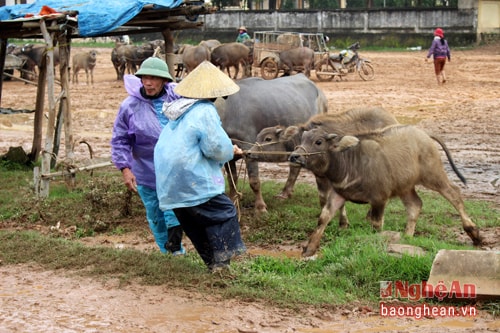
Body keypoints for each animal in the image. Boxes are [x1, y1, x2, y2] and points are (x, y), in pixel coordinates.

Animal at [216, 73, 328, 211]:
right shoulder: (228, 156)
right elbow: (232, 180)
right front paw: (233, 199)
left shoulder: (250, 149)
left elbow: (254, 181)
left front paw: (260, 207)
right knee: (294, 166)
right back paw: (285, 193)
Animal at [248, 106, 400, 226]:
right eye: (258, 137)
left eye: (268, 139)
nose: (248, 152)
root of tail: (393, 121)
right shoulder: (320, 176)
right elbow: (322, 198)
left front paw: (343, 222)